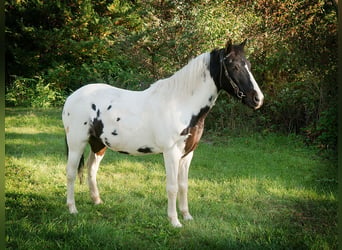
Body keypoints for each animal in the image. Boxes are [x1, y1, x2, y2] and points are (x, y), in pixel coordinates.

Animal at [62, 38, 264, 227]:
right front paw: (174, 221)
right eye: (234, 66)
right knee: (71, 172)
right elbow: (172, 187)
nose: (258, 99)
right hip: (76, 143)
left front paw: (187, 216)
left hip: (98, 144)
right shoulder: (171, 153)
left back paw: (97, 201)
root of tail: (72, 97)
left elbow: (183, 185)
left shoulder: (187, 154)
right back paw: (72, 209)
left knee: (91, 169)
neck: (181, 104)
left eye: (248, 64)